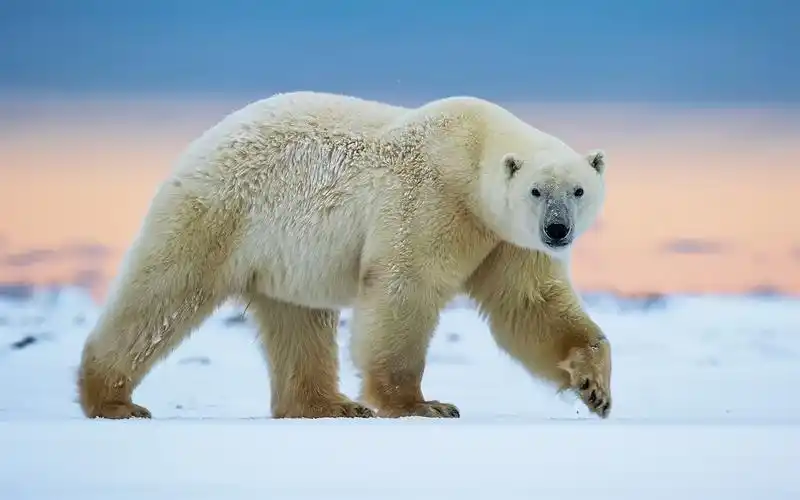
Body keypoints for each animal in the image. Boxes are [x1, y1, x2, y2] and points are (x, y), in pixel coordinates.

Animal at [77, 90, 612, 420]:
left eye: (579, 190)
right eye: (537, 191)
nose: (558, 230)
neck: (471, 154)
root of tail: (199, 145)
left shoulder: (504, 239)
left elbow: (529, 305)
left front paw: (595, 388)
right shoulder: (432, 200)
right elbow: (405, 287)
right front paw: (424, 405)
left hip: (285, 256)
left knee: (299, 321)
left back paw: (327, 404)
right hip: (220, 213)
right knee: (162, 296)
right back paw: (114, 400)